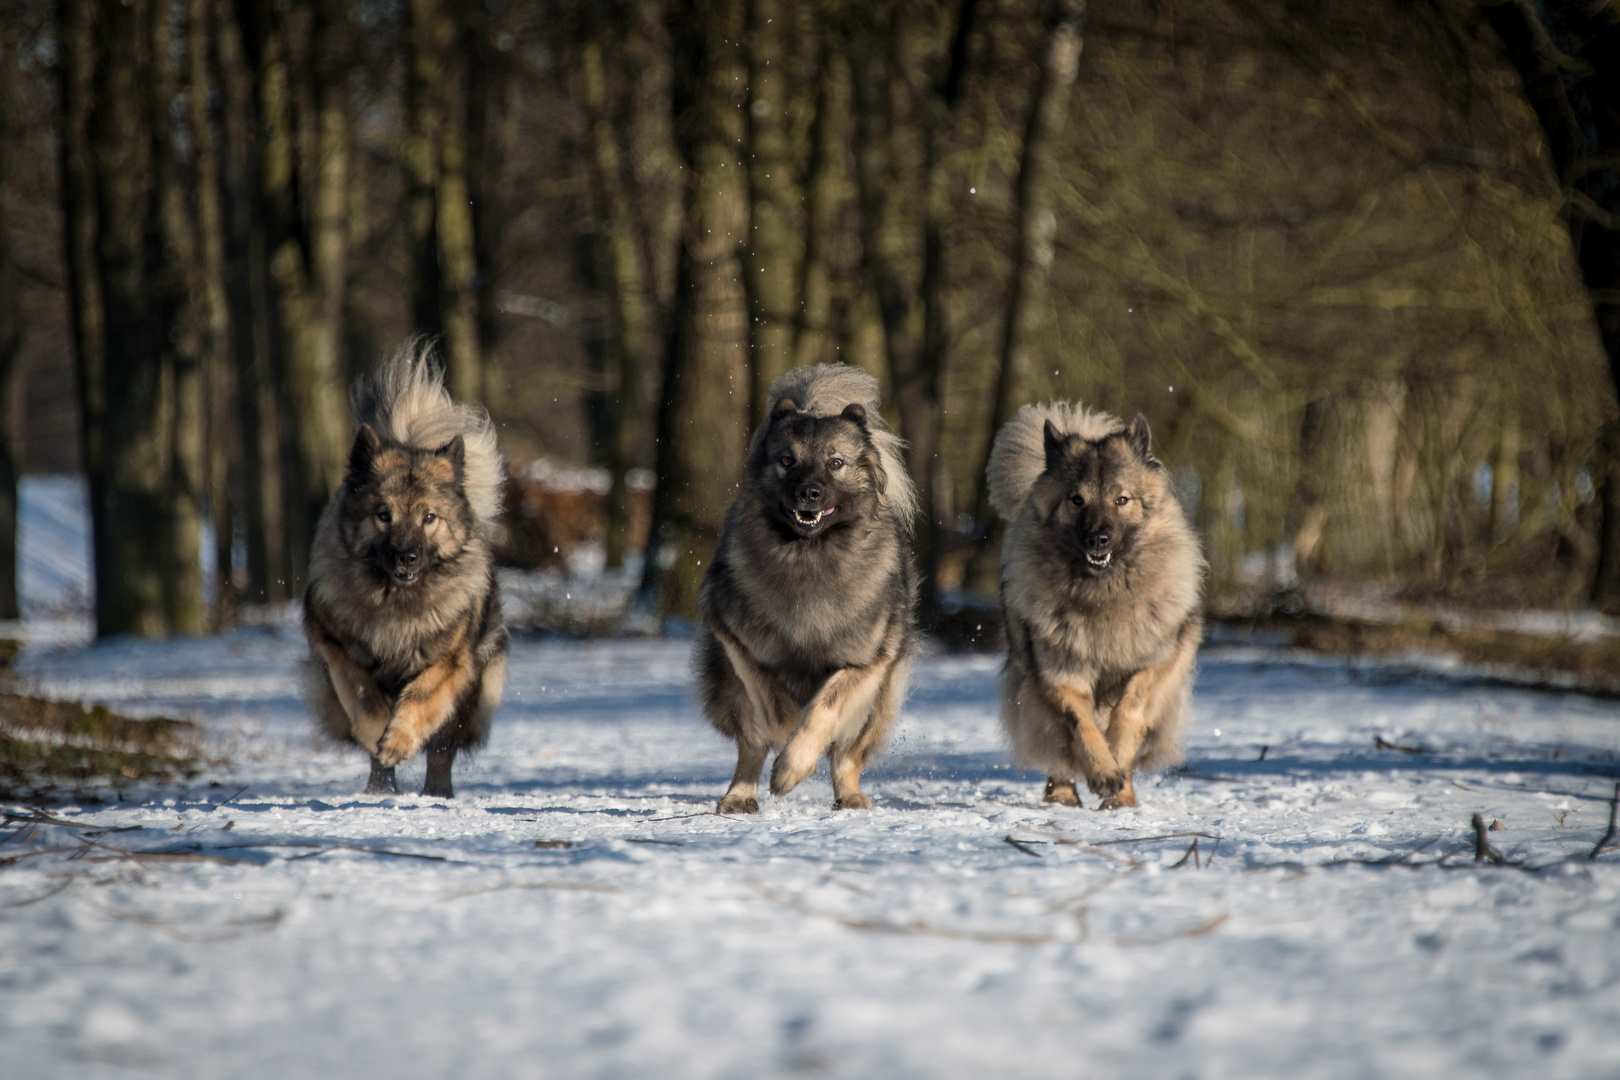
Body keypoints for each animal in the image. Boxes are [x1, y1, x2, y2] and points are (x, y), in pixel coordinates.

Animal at [302, 341, 505, 799]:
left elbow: (418, 699)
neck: (397, 603)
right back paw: (380, 789)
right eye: (384, 515)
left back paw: (436, 793)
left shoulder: (448, 661)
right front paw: (380, 734)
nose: (406, 557)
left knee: (442, 749)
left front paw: (397, 740)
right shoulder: (335, 647)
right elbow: (364, 697)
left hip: (474, 691)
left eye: (429, 517)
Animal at [696, 362, 926, 809]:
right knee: (751, 746)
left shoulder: (864, 661)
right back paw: (739, 796)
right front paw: (787, 750)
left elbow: (823, 709)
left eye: (835, 462)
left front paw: (794, 764)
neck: (809, 556)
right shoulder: (738, 641)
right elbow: (774, 704)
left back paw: (849, 796)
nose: (809, 493)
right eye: (787, 460)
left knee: (846, 756)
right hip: (728, 689)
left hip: (876, 704)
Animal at [984, 403, 1205, 809]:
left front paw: (1117, 762)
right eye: (1077, 500)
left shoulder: (1155, 664)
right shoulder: (1060, 675)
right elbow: (1081, 724)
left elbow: (1130, 710)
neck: (1103, 597)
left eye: (1121, 499)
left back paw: (1123, 797)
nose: (1097, 538)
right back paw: (1063, 794)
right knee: (1057, 748)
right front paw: (1103, 771)